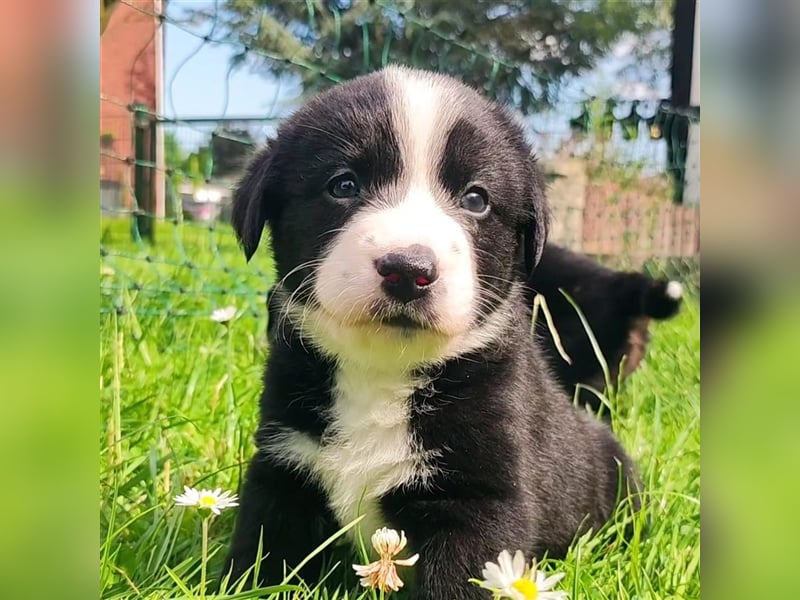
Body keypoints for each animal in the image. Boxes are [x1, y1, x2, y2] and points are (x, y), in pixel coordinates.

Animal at [220, 67, 636, 600]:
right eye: (343, 185)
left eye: (476, 198)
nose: (408, 269)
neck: (381, 371)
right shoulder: (284, 463)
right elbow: (260, 553)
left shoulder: (479, 498)